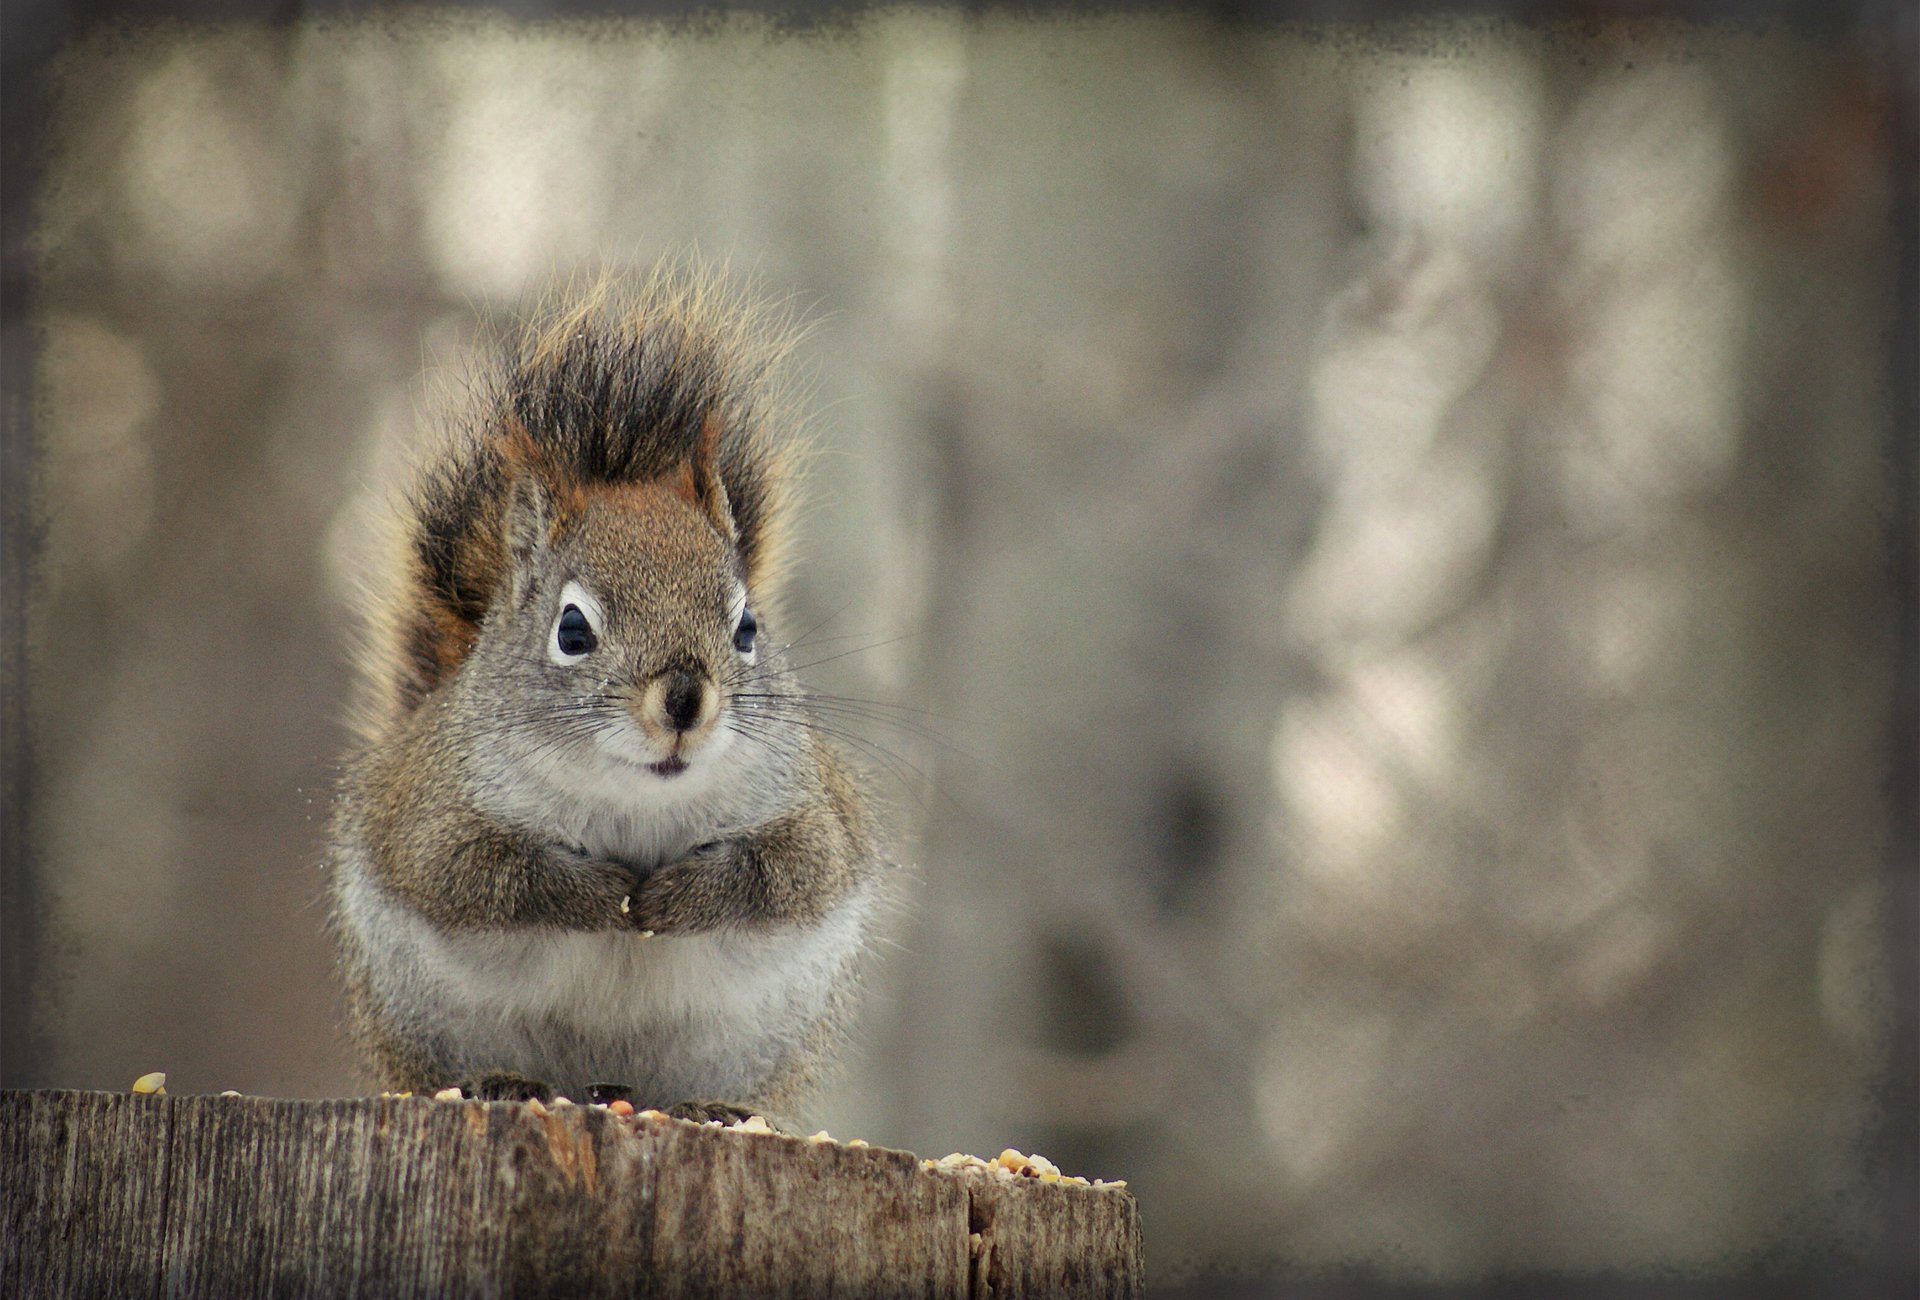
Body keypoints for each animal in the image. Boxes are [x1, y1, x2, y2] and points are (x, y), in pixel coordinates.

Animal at [328, 269, 886, 1125]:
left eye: (748, 626)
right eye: (572, 630)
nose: (684, 699)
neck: (638, 801)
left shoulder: (811, 814)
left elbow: (788, 873)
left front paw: (677, 899)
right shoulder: (436, 818)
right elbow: (482, 877)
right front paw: (603, 896)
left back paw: (710, 1107)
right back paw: (504, 1082)